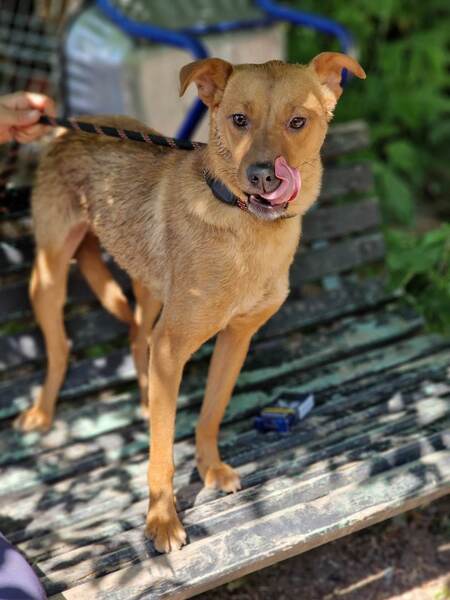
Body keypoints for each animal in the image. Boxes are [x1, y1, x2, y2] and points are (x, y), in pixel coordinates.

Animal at [14, 53, 365, 552]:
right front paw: (162, 519)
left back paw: (144, 399)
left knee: (136, 333)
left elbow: (210, 413)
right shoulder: (172, 347)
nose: (264, 176)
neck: (246, 229)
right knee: (61, 346)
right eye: (238, 119)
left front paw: (209, 469)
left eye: (298, 121)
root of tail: (70, 129)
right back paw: (43, 412)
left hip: (146, 280)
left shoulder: (236, 339)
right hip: (49, 274)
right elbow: (161, 451)